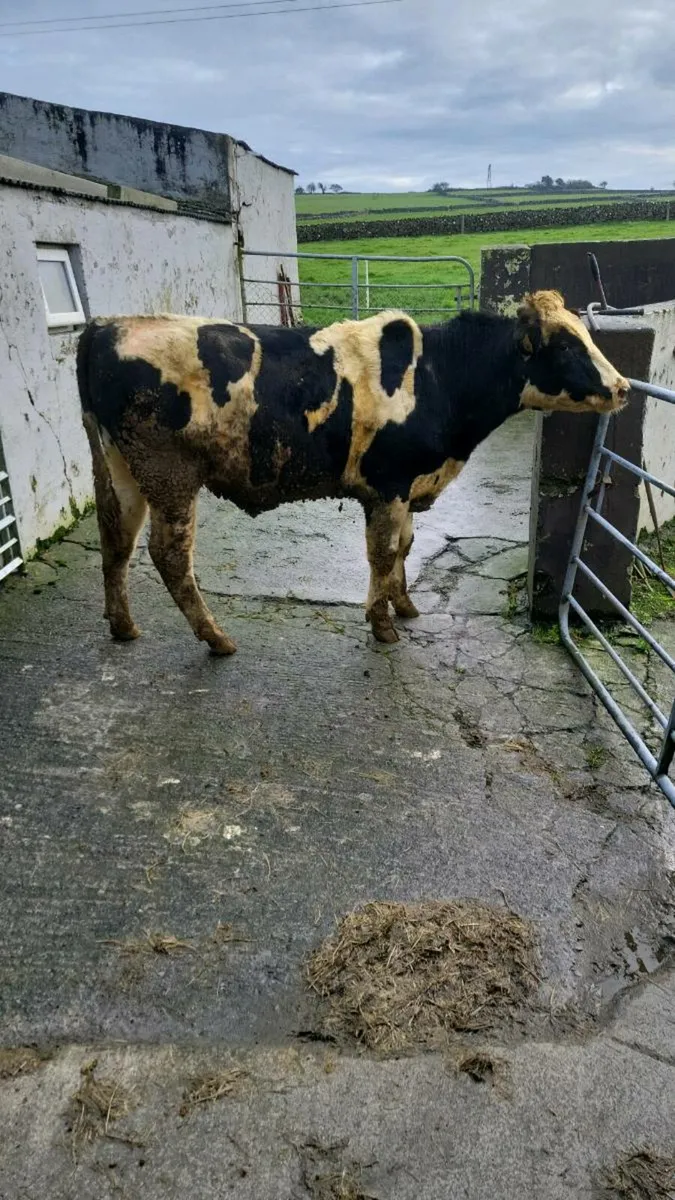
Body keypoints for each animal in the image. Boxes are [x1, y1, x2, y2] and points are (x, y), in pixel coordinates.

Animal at [76, 290, 629, 654]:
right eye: (566, 346)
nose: (623, 387)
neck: (440, 376)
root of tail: (106, 325)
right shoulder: (388, 484)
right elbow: (382, 554)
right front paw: (382, 625)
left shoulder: (408, 485)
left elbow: (404, 547)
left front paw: (404, 606)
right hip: (169, 473)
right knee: (169, 555)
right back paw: (216, 638)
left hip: (122, 468)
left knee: (116, 539)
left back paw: (122, 626)